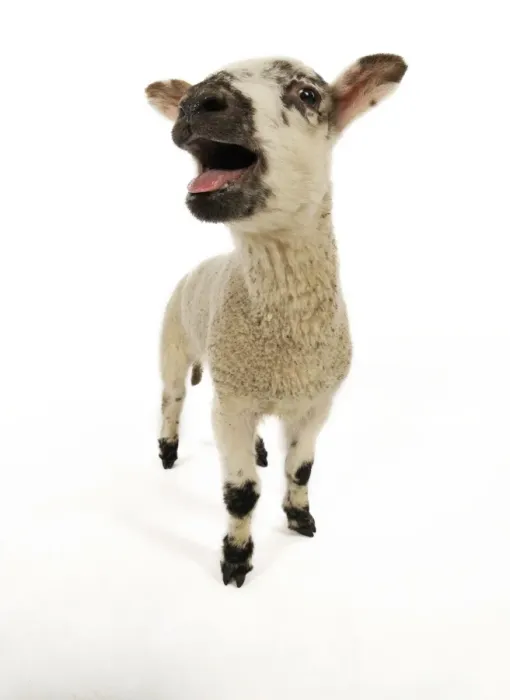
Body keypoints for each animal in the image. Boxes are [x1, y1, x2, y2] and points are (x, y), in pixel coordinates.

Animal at [146, 54, 407, 587]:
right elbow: (241, 493)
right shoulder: (230, 404)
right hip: (173, 344)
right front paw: (236, 560)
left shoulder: (316, 402)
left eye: (309, 94)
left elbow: (301, 469)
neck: (288, 338)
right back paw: (167, 451)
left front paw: (301, 518)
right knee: (171, 399)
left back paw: (263, 451)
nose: (196, 103)